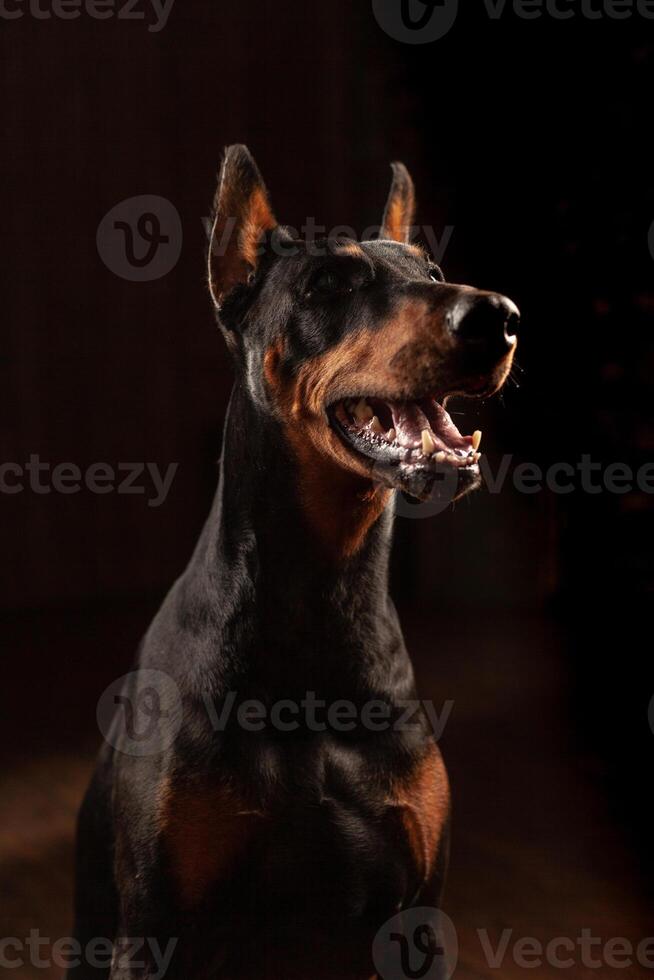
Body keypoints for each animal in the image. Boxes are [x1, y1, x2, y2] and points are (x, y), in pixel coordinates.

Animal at [70, 145, 524, 980]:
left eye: (435, 269)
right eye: (332, 283)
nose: (499, 318)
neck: (321, 588)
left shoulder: (415, 918)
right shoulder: (153, 931)